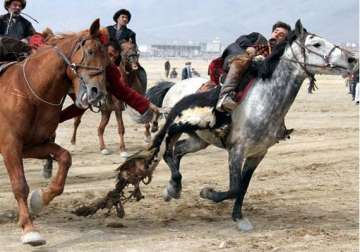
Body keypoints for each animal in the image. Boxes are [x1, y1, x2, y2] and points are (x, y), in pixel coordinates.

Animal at [0, 20, 109, 246]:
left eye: (108, 60)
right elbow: (19, 185)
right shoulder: (10, 145)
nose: (98, 93)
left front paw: (40, 199)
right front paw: (29, 229)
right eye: (91, 51)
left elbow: (65, 157)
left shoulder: (32, 145)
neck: (29, 92)